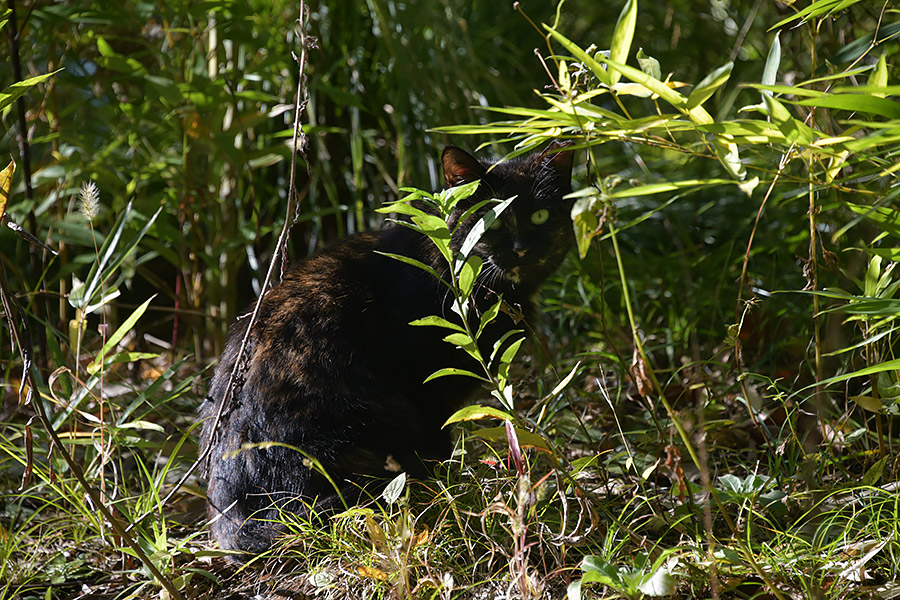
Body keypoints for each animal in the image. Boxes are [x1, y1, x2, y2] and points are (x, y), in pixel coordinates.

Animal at [200, 141, 572, 552]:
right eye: (491, 221)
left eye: (540, 215)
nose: (522, 249)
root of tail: (229, 513)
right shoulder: (425, 383)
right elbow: (439, 440)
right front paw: (452, 485)